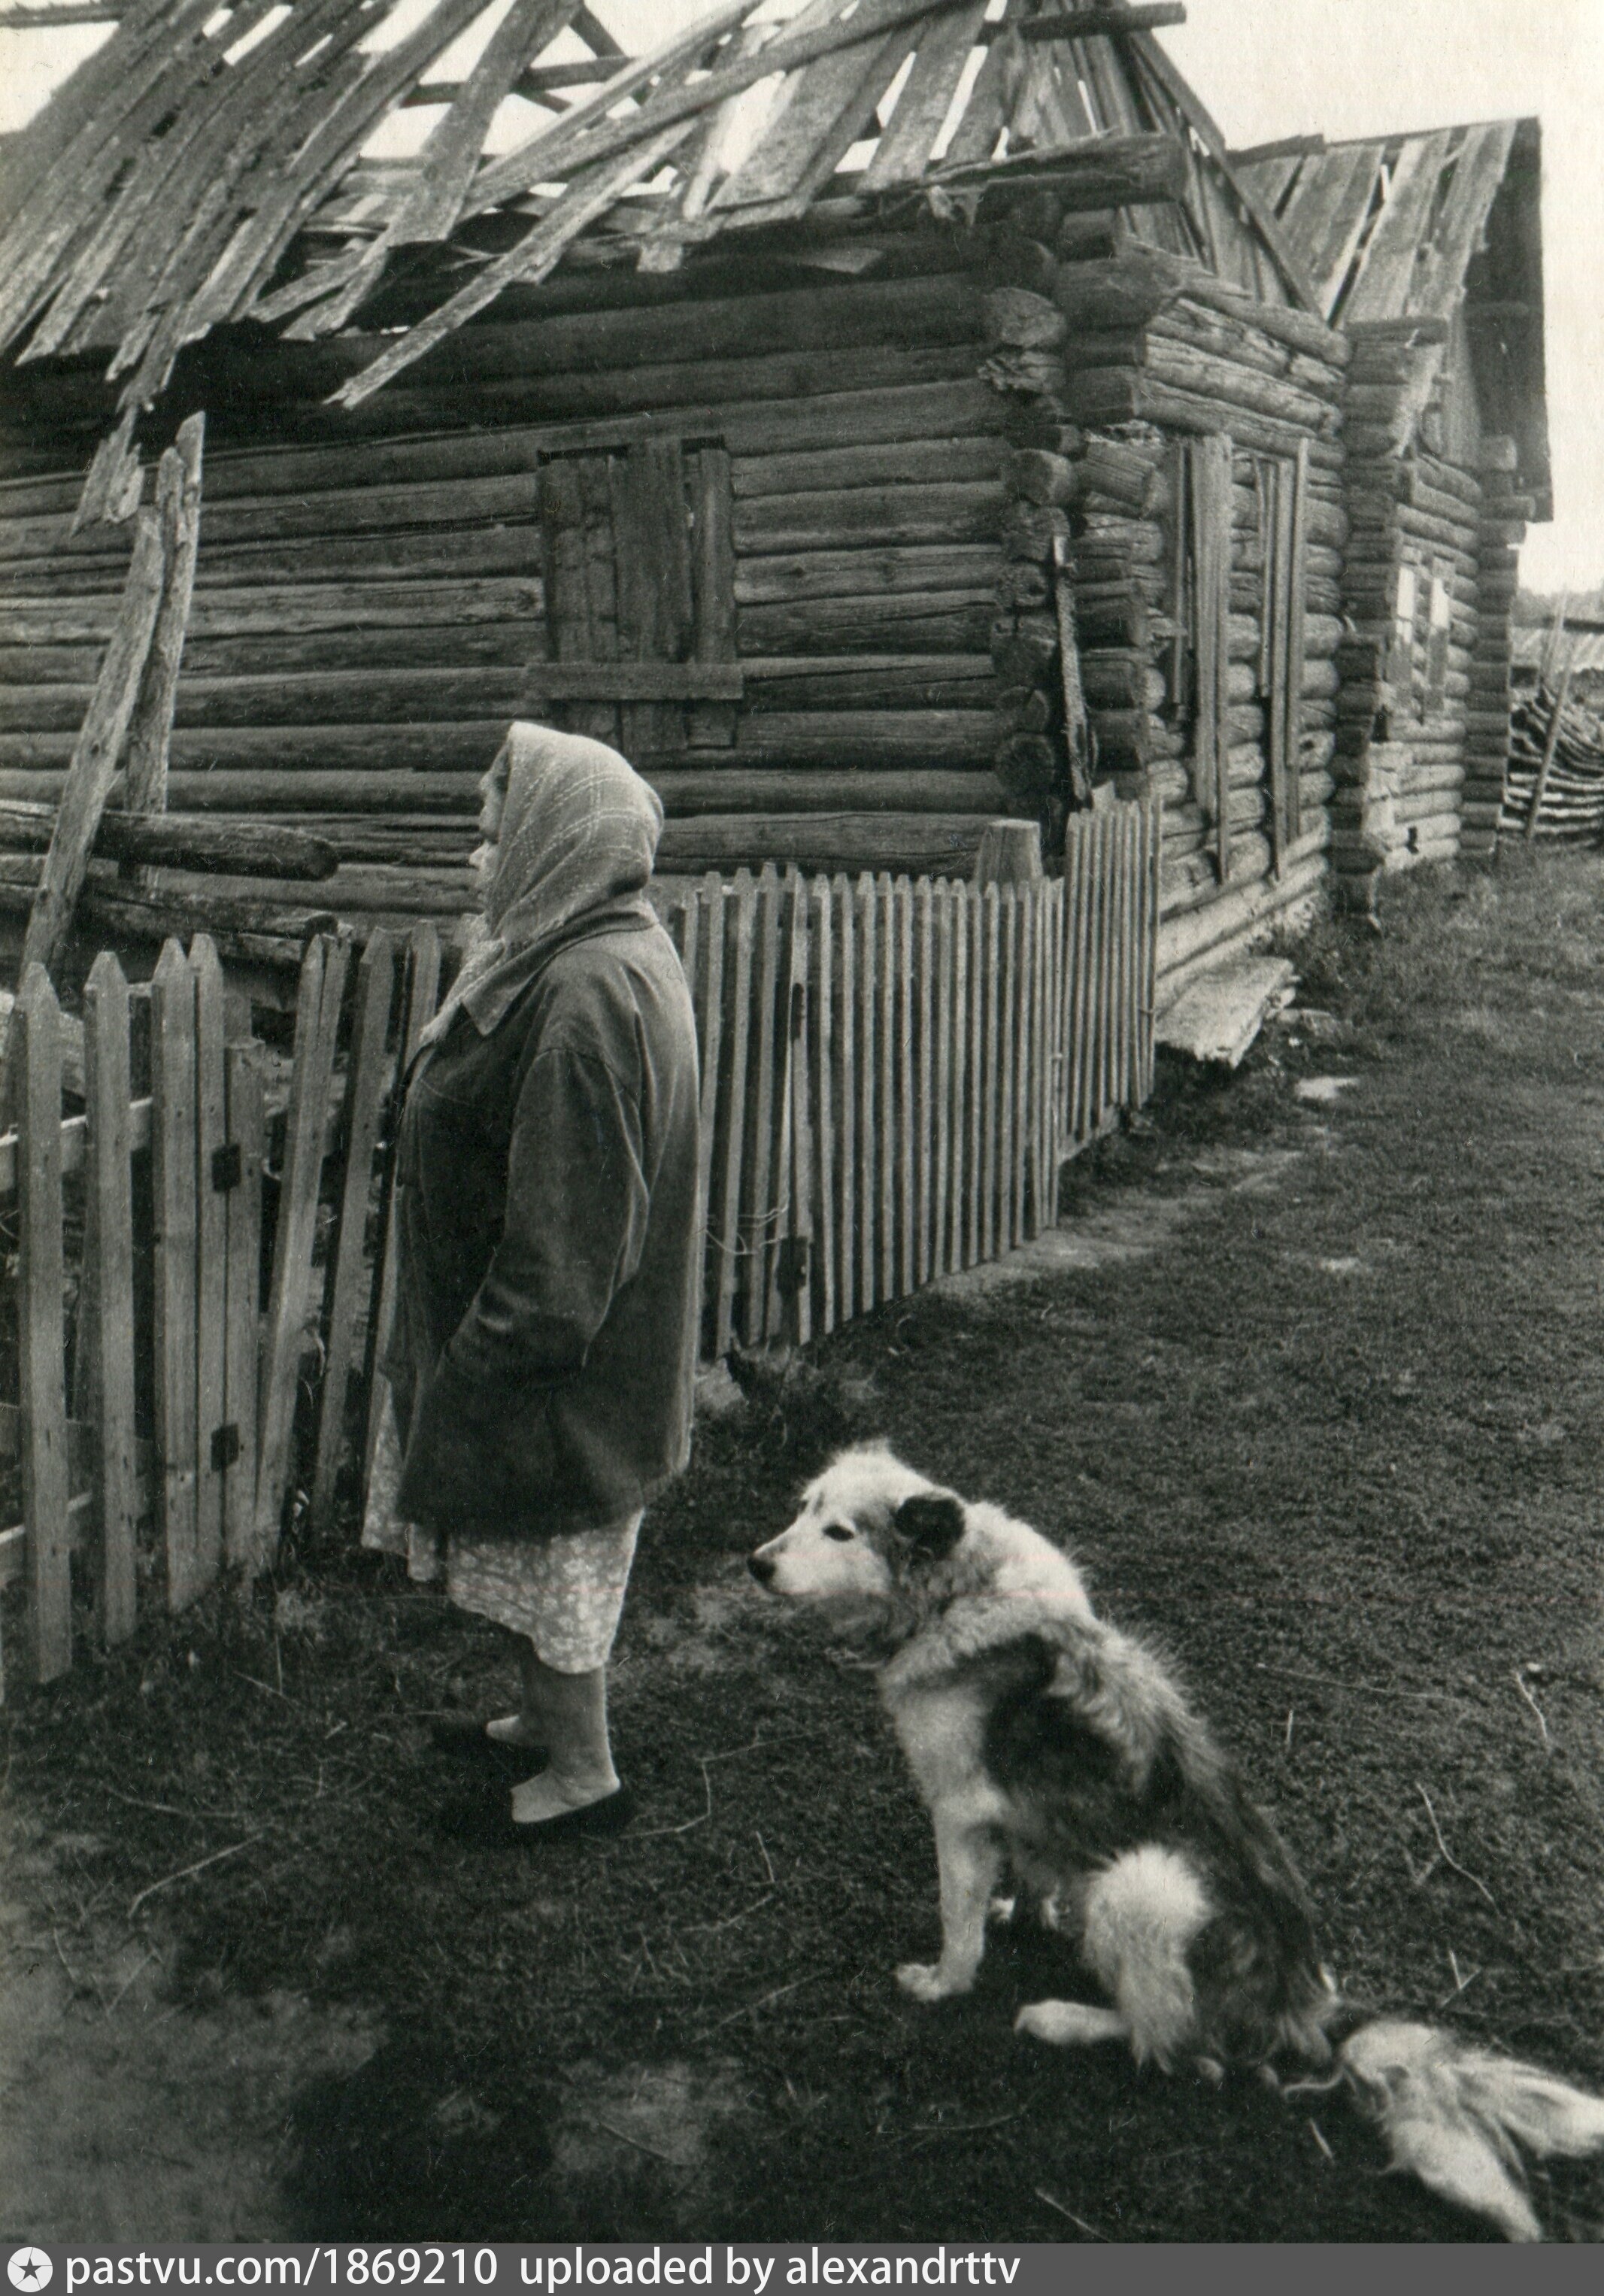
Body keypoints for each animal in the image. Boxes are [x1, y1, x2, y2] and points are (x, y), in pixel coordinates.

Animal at [747, 1451, 1604, 2240]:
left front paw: (944, 1981)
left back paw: (1066, 2017)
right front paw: (1025, 1910)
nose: (756, 1563)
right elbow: (1035, 1865)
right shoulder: (1020, 1811)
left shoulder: (956, 1811)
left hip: (1144, 1882)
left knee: (1177, 2046)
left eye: (839, 1530)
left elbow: (957, 1924)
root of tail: (1305, 2003)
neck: (956, 1589)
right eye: (804, 1506)